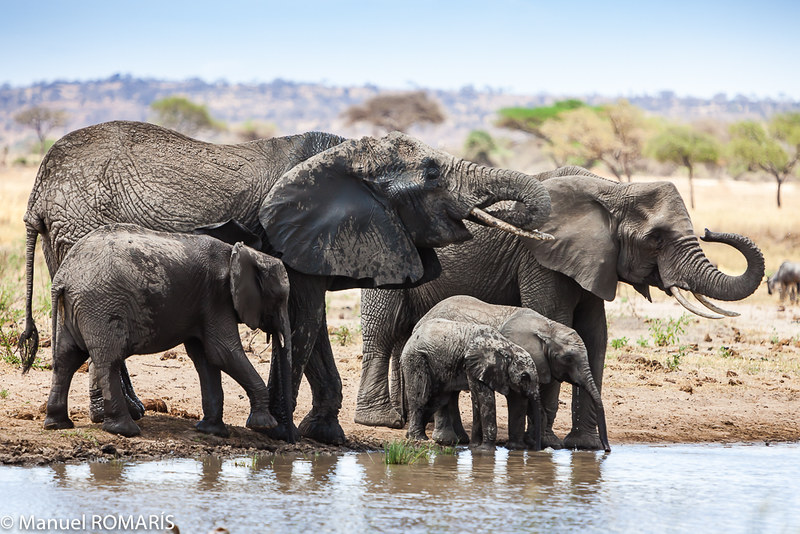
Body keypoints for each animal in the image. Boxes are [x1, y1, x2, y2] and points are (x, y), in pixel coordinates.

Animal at [28, 225, 296, 440]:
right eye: (280, 297)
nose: (288, 438)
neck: (240, 253)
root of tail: (63, 277)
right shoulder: (217, 298)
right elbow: (223, 353)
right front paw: (263, 425)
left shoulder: (203, 304)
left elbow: (206, 359)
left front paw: (212, 431)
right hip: (100, 306)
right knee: (108, 360)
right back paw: (125, 430)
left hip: (71, 309)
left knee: (66, 360)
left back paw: (57, 425)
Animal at [398, 318, 540, 452]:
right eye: (525, 376)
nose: (537, 448)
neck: (506, 346)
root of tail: (412, 336)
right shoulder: (474, 364)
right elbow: (485, 399)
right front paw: (486, 450)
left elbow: (484, 399)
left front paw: (475, 447)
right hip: (415, 359)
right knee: (422, 397)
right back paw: (419, 438)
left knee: (438, 400)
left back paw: (409, 436)